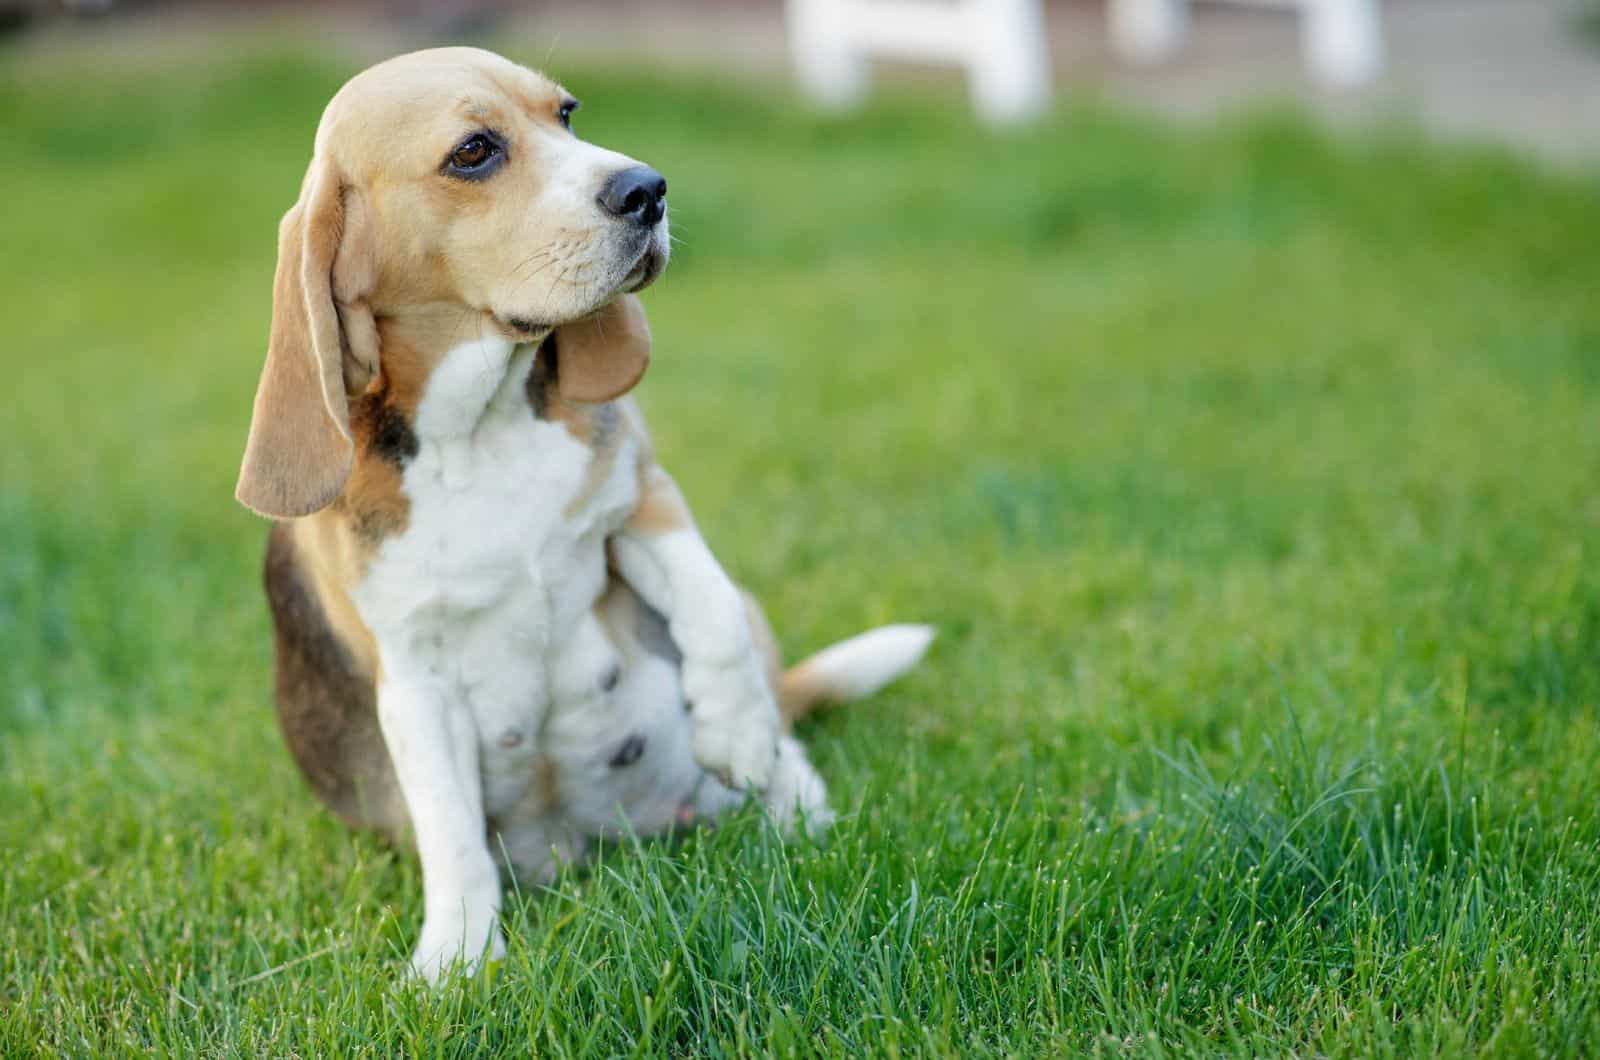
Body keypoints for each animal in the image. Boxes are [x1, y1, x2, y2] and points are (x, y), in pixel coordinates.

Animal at [238, 47, 934, 979]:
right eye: (473, 152)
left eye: (566, 113)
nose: (648, 189)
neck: (483, 426)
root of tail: (593, 846)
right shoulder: (412, 675)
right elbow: (450, 827)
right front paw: (457, 959)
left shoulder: (643, 499)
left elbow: (710, 611)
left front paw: (737, 731)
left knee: (768, 695)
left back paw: (795, 800)